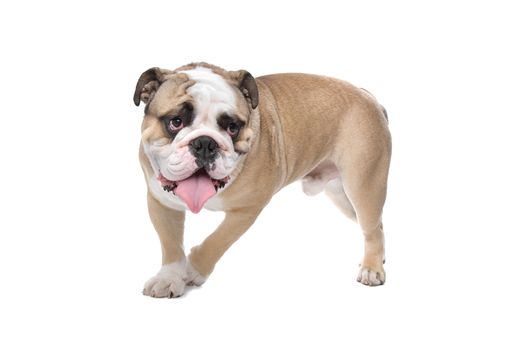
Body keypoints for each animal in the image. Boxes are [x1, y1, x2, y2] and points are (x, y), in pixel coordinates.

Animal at [134, 61, 388, 296]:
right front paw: (169, 278)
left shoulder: (248, 208)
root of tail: (369, 98)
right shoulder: (161, 203)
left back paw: (371, 269)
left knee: (371, 228)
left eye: (233, 127)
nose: (205, 143)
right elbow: (171, 245)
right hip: (342, 196)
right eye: (175, 121)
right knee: (377, 226)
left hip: (363, 187)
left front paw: (193, 270)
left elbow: (217, 241)